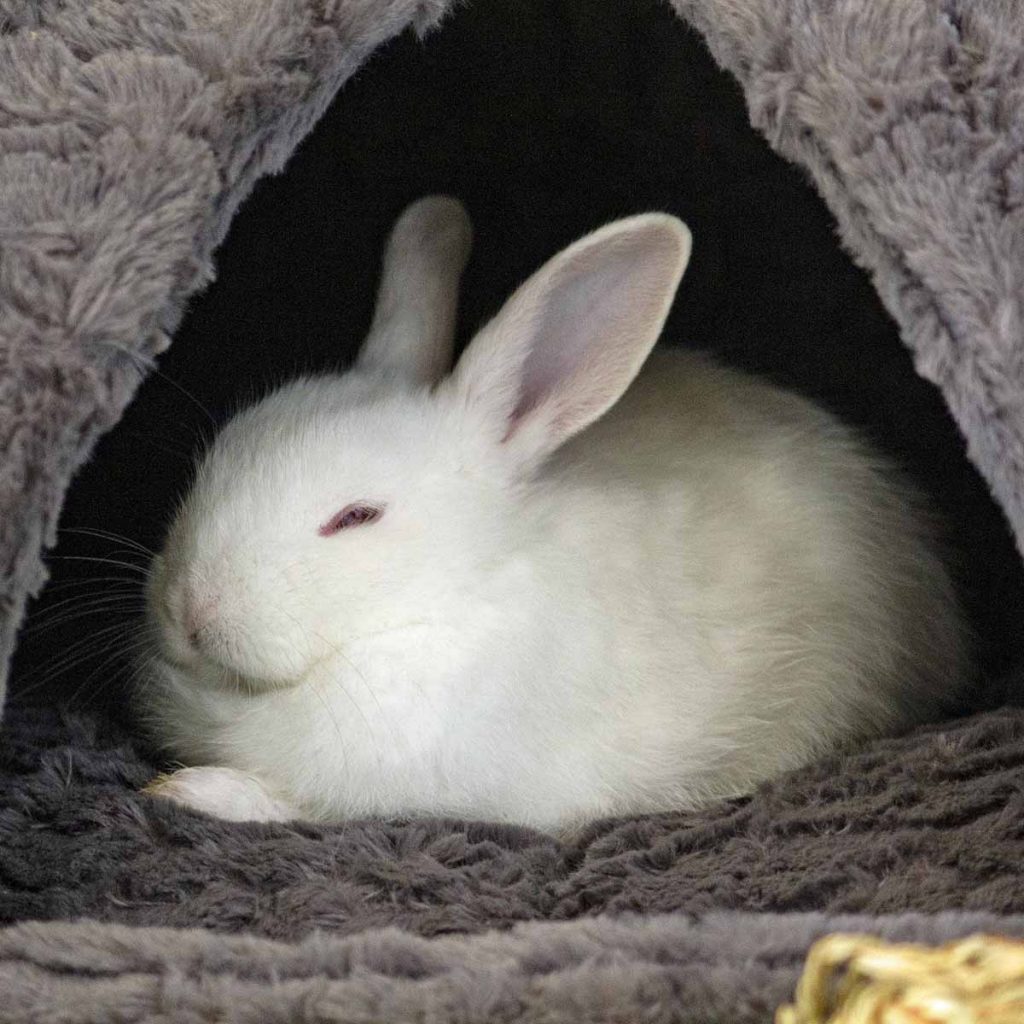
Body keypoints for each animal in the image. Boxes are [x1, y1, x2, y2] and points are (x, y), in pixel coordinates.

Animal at [139, 195, 969, 834]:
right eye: (217, 460)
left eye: (356, 516)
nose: (190, 610)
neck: (436, 608)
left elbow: (302, 805)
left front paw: (193, 792)